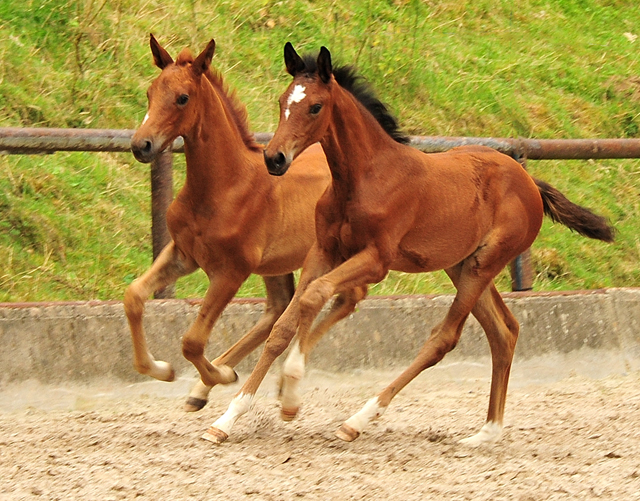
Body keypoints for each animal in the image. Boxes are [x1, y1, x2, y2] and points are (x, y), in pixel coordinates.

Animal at [126, 35, 364, 410]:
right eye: (151, 92)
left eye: (182, 98)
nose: (141, 145)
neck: (224, 187)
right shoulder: (183, 254)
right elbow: (134, 296)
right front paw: (162, 369)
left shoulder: (231, 271)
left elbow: (192, 341)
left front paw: (220, 377)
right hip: (277, 265)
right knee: (279, 308)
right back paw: (215, 384)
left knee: (347, 298)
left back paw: (267, 380)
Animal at [205, 42, 616, 442]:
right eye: (282, 101)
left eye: (315, 107)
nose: (274, 159)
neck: (363, 179)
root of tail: (530, 183)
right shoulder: (323, 250)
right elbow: (284, 324)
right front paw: (226, 420)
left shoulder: (376, 260)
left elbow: (313, 296)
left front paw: (289, 392)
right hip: (462, 264)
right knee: (505, 331)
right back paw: (487, 432)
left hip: (484, 264)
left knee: (444, 338)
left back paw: (358, 420)